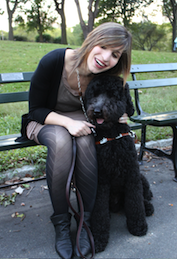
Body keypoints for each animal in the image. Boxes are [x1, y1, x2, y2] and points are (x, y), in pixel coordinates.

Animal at [83, 74, 154, 254]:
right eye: (94, 94)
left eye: (113, 95)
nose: (97, 111)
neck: (111, 138)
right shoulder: (101, 181)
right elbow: (100, 212)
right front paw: (98, 238)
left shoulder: (132, 175)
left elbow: (135, 201)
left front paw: (138, 226)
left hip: (141, 177)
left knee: (143, 196)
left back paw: (147, 207)